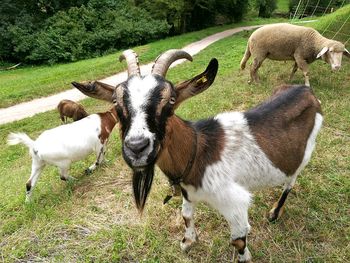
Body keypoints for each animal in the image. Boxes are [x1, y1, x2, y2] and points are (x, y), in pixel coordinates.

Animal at [72, 49, 324, 262]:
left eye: (171, 100)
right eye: (116, 102)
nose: (137, 146)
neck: (197, 149)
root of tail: (307, 91)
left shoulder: (234, 201)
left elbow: (238, 239)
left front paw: (244, 256)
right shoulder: (188, 192)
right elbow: (186, 215)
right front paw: (187, 242)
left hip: (306, 150)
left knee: (291, 180)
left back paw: (274, 212)